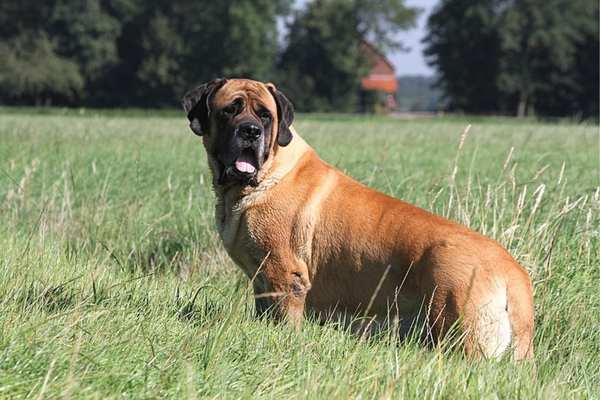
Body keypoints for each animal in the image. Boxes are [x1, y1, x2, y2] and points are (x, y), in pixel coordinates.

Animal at [180, 78, 532, 360]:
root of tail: (513, 274)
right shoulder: (262, 280)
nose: (250, 131)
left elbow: (285, 322)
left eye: (265, 115)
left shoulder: (285, 276)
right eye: (230, 110)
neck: (263, 177)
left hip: (457, 322)